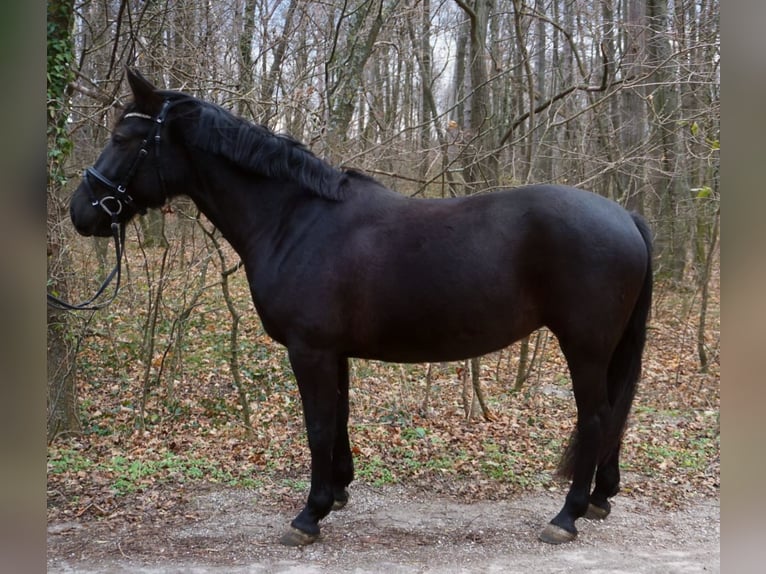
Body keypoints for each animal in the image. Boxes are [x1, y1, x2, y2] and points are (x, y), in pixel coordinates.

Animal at [70, 70, 656, 548]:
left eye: (123, 138)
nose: (81, 212)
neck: (294, 220)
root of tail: (625, 216)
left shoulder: (310, 350)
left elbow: (317, 424)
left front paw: (309, 516)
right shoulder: (335, 352)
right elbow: (340, 416)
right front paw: (338, 492)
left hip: (584, 347)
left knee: (596, 416)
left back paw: (567, 516)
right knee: (613, 417)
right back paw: (600, 499)